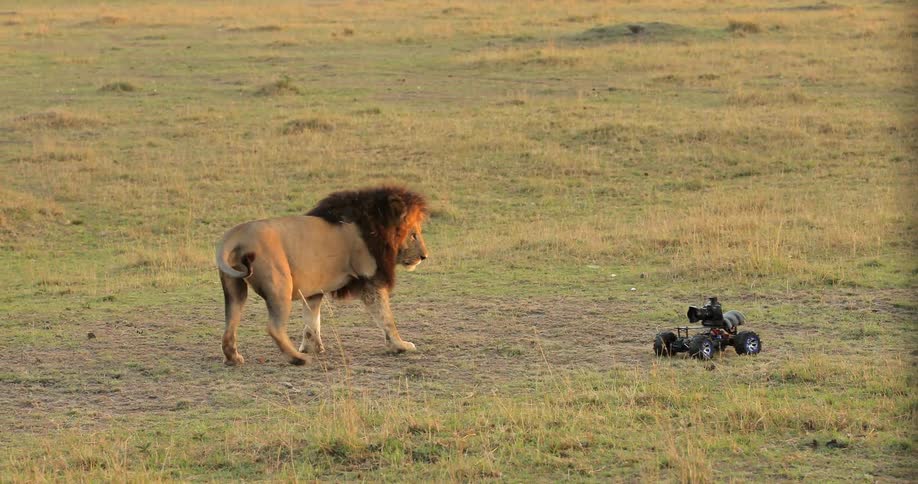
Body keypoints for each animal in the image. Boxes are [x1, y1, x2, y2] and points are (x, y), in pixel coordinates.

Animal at [214, 186, 429, 365]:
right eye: (413, 234)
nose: (424, 256)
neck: (374, 226)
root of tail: (236, 235)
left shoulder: (313, 290)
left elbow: (312, 320)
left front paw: (313, 347)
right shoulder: (370, 279)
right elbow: (386, 318)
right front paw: (400, 346)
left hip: (235, 288)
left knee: (230, 322)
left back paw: (233, 358)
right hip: (280, 284)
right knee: (273, 327)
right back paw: (297, 359)